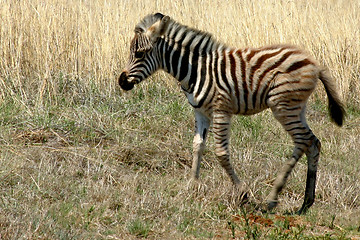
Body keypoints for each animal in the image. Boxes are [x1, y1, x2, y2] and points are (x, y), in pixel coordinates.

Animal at [119, 12, 346, 214]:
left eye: (139, 54)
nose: (121, 81)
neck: (195, 70)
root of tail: (314, 63)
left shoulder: (221, 110)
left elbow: (221, 153)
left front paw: (243, 193)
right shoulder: (200, 112)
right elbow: (197, 146)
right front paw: (192, 185)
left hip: (282, 106)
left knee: (303, 140)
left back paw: (273, 198)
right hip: (297, 107)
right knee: (312, 142)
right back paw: (306, 202)